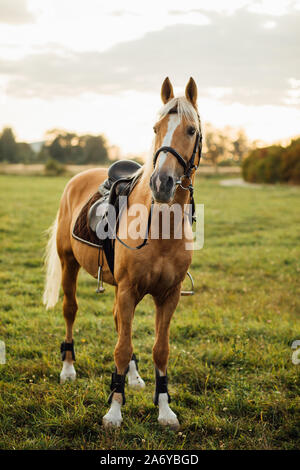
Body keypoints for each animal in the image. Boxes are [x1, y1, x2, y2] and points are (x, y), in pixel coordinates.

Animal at [42, 77, 202, 430]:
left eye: (191, 130)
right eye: (156, 127)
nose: (162, 183)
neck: (159, 225)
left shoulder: (168, 295)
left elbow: (159, 349)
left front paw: (164, 410)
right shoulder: (129, 290)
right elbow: (121, 347)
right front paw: (114, 412)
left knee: (118, 323)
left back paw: (133, 377)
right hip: (69, 264)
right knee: (71, 311)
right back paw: (68, 369)